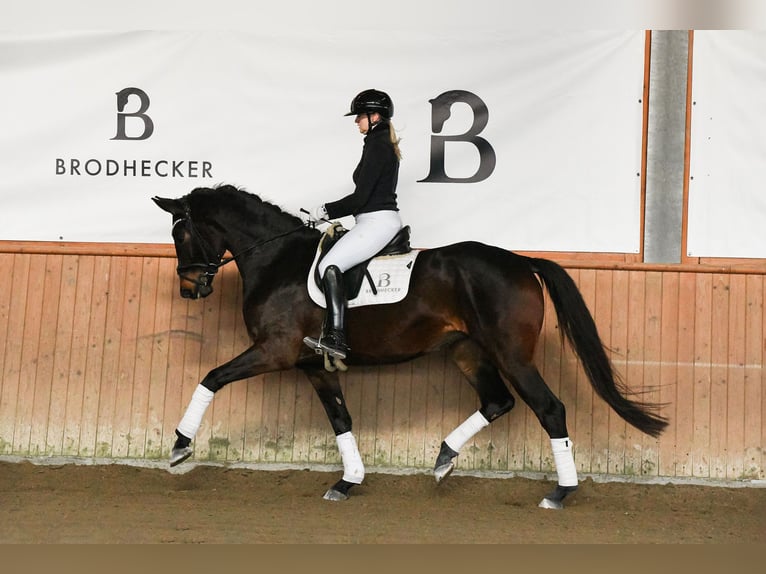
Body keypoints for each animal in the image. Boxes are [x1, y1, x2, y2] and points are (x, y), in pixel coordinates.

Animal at [152, 184, 668, 509]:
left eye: (180, 232)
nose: (189, 289)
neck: (279, 260)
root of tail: (521, 261)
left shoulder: (274, 351)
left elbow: (211, 378)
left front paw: (179, 447)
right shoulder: (313, 364)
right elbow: (341, 420)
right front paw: (347, 483)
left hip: (511, 354)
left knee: (549, 408)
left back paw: (559, 493)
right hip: (466, 350)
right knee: (496, 401)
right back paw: (443, 459)